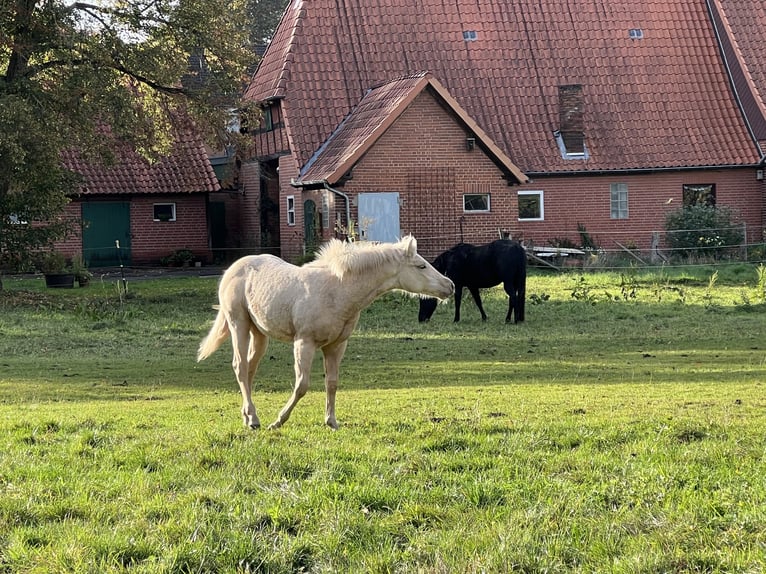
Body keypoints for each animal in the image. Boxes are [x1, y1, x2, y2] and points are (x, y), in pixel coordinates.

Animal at [197, 235, 454, 430]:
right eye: (421, 266)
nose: (449, 285)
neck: (338, 291)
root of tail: (232, 269)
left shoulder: (336, 345)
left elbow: (332, 383)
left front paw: (331, 421)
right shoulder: (304, 343)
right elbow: (302, 385)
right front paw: (279, 421)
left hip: (259, 333)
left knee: (250, 369)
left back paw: (248, 416)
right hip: (238, 324)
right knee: (240, 367)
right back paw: (254, 419)